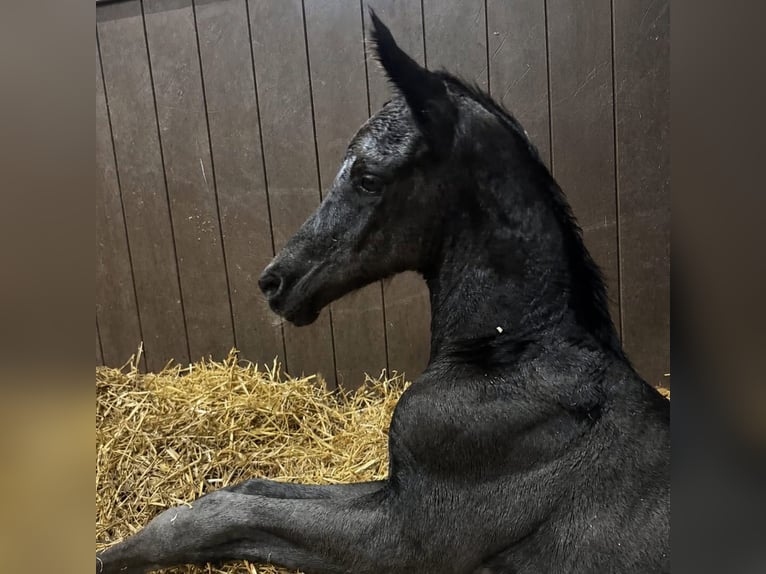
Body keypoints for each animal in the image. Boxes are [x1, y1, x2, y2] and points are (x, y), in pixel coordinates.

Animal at [97, 13, 670, 574]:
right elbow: (254, 491)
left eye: (369, 178)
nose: (274, 282)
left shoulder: (403, 537)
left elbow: (223, 512)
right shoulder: (392, 491)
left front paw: (116, 552)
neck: (514, 355)